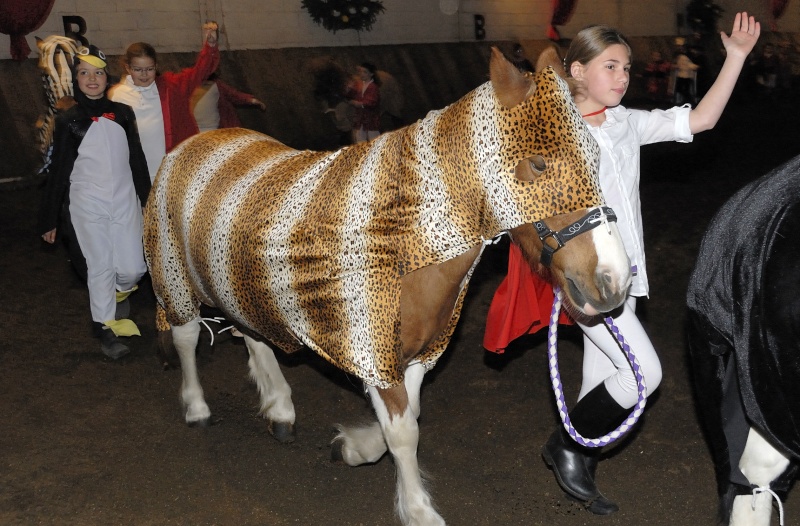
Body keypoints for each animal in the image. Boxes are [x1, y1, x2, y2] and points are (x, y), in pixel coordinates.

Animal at [142, 47, 632, 524]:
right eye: (538, 162)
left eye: (595, 156)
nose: (613, 280)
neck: (403, 241)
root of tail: (193, 142)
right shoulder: (371, 352)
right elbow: (403, 434)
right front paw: (418, 510)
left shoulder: (417, 352)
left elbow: (406, 418)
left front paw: (354, 447)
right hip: (174, 275)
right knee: (186, 338)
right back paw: (197, 407)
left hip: (239, 280)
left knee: (252, 332)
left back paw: (279, 406)